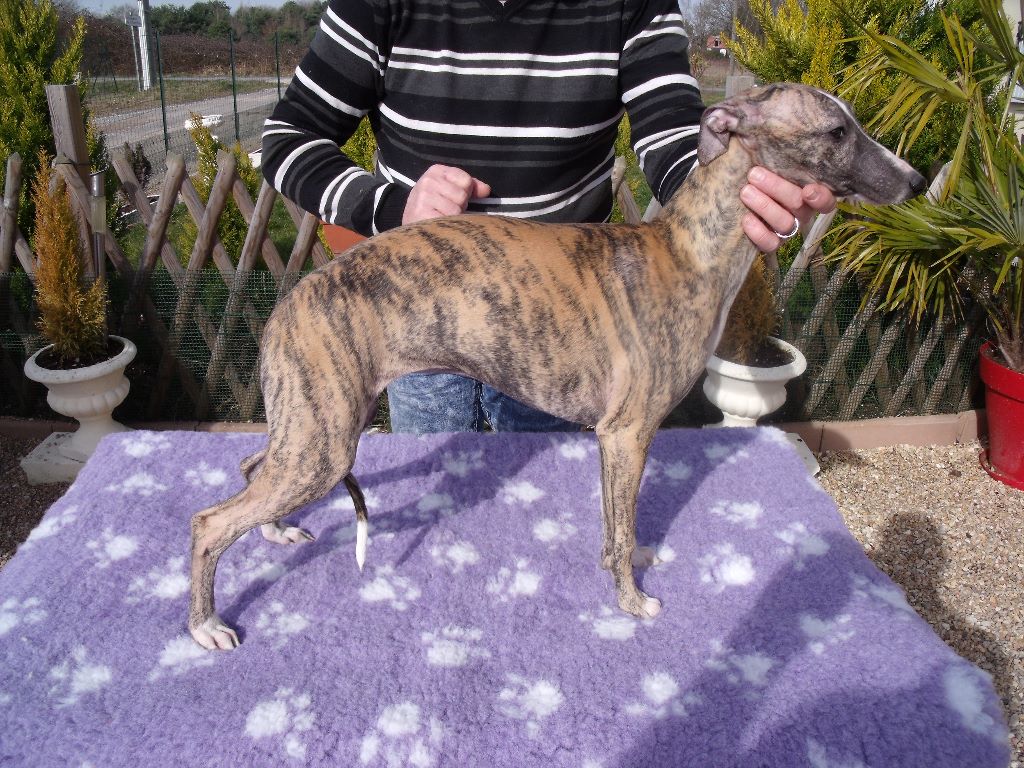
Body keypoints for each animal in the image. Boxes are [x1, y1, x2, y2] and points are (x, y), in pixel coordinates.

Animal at [188, 84, 926, 649]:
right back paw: (206, 626)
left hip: (310, 426)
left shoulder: (611, 437)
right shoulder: (628, 431)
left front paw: (624, 562)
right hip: (324, 440)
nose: (917, 180)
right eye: (836, 130)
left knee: (251, 468)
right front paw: (632, 603)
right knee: (209, 523)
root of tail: (287, 303)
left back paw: (276, 530)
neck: (688, 251)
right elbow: (622, 527)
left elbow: (615, 523)